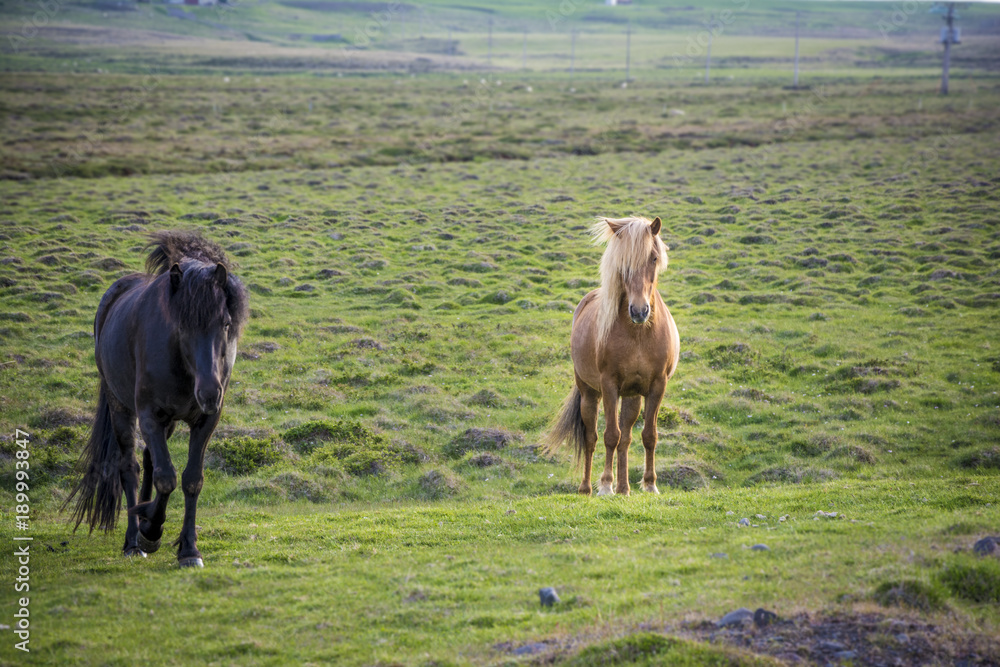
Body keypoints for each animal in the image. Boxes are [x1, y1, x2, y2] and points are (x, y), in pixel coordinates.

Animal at [65, 231, 248, 567]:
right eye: (182, 325)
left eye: (226, 324)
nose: (209, 393)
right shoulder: (149, 415)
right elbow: (166, 477)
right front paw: (149, 532)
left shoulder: (205, 420)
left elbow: (191, 480)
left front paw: (188, 549)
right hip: (121, 408)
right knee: (130, 468)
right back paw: (133, 540)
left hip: (170, 421)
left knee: (150, 460)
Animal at [545, 216, 679, 496]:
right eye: (623, 262)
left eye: (653, 257)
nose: (639, 311)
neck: (638, 333)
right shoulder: (609, 385)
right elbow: (610, 436)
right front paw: (606, 485)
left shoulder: (657, 386)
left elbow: (648, 435)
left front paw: (650, 484)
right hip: (589, 393)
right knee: (592, 437)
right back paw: (588, 487)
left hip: (632, 396)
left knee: (626, 438)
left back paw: (624, 488)